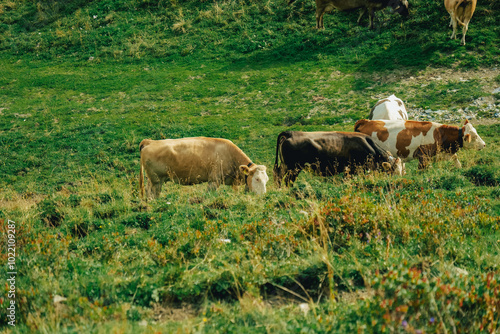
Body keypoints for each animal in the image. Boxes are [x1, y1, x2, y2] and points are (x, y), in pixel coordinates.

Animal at [137, 137, 270, 200]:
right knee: (152, 193)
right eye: (257, 179)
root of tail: (149, 141)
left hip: (152, 180)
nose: (263, 196)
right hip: (156, 181)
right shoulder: (214, 180)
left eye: (267, 180)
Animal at [272, 130, 404, 187]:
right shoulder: (352, 169)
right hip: (292, 167)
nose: (396, 182)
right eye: (392, 171)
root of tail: (291, 133)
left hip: (287, 165)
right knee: (286, 179)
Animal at [354, 118, 486, 168]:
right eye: (474, 136)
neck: (439, 133)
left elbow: (456, 160)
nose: (484, 144)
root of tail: (366, 121)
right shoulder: (423, 156)